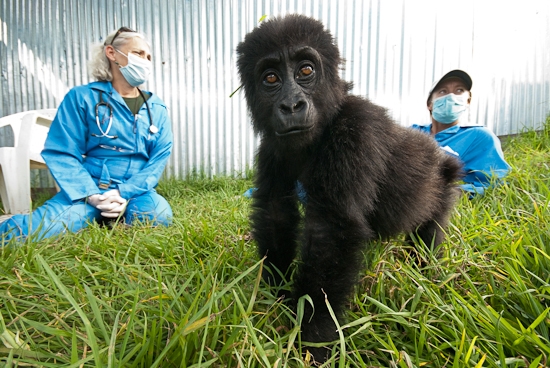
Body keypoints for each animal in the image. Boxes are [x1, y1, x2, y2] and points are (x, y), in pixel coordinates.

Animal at [237, 13, 466, 362]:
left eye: (306, 71)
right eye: (271, 78)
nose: (291, 105)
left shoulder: (356, 130)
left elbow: (331, 232)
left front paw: (314, 337)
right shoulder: (272, 148)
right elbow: (276, 213)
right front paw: (269, 299)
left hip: (444, 181)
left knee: (430, 228)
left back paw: (424, 264)